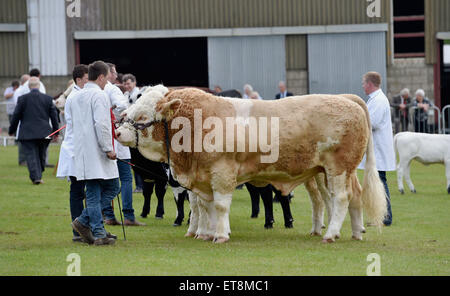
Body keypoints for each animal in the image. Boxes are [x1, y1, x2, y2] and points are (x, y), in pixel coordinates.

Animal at [116, 85, 386, 243]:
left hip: (338, 168)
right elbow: (206, 206)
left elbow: (219, 206)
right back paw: (353, 232)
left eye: (143, 115)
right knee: (350, 196)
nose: (117, 131)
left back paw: (330, 233)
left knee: (340, 198)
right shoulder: (203, 178)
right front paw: (205, 233)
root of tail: (348, 101)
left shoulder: (223, 174)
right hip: (335, 171)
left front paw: (220, 235)